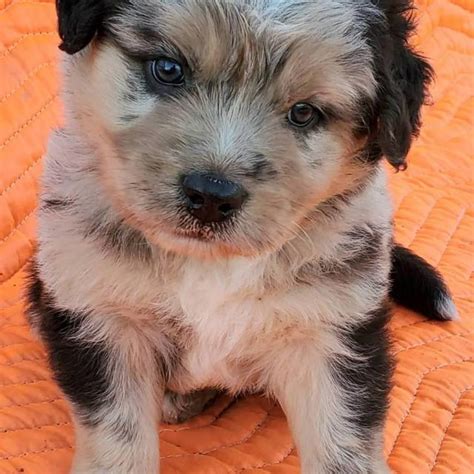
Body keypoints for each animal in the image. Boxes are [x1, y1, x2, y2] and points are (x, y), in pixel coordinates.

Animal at [25, 1, 456, 472]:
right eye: (168, 69)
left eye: (304, 113)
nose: (211, 196)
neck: (212, 264)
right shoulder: (100, 313)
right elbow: (118, 441)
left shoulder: (331, 331)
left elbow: (343, 445)